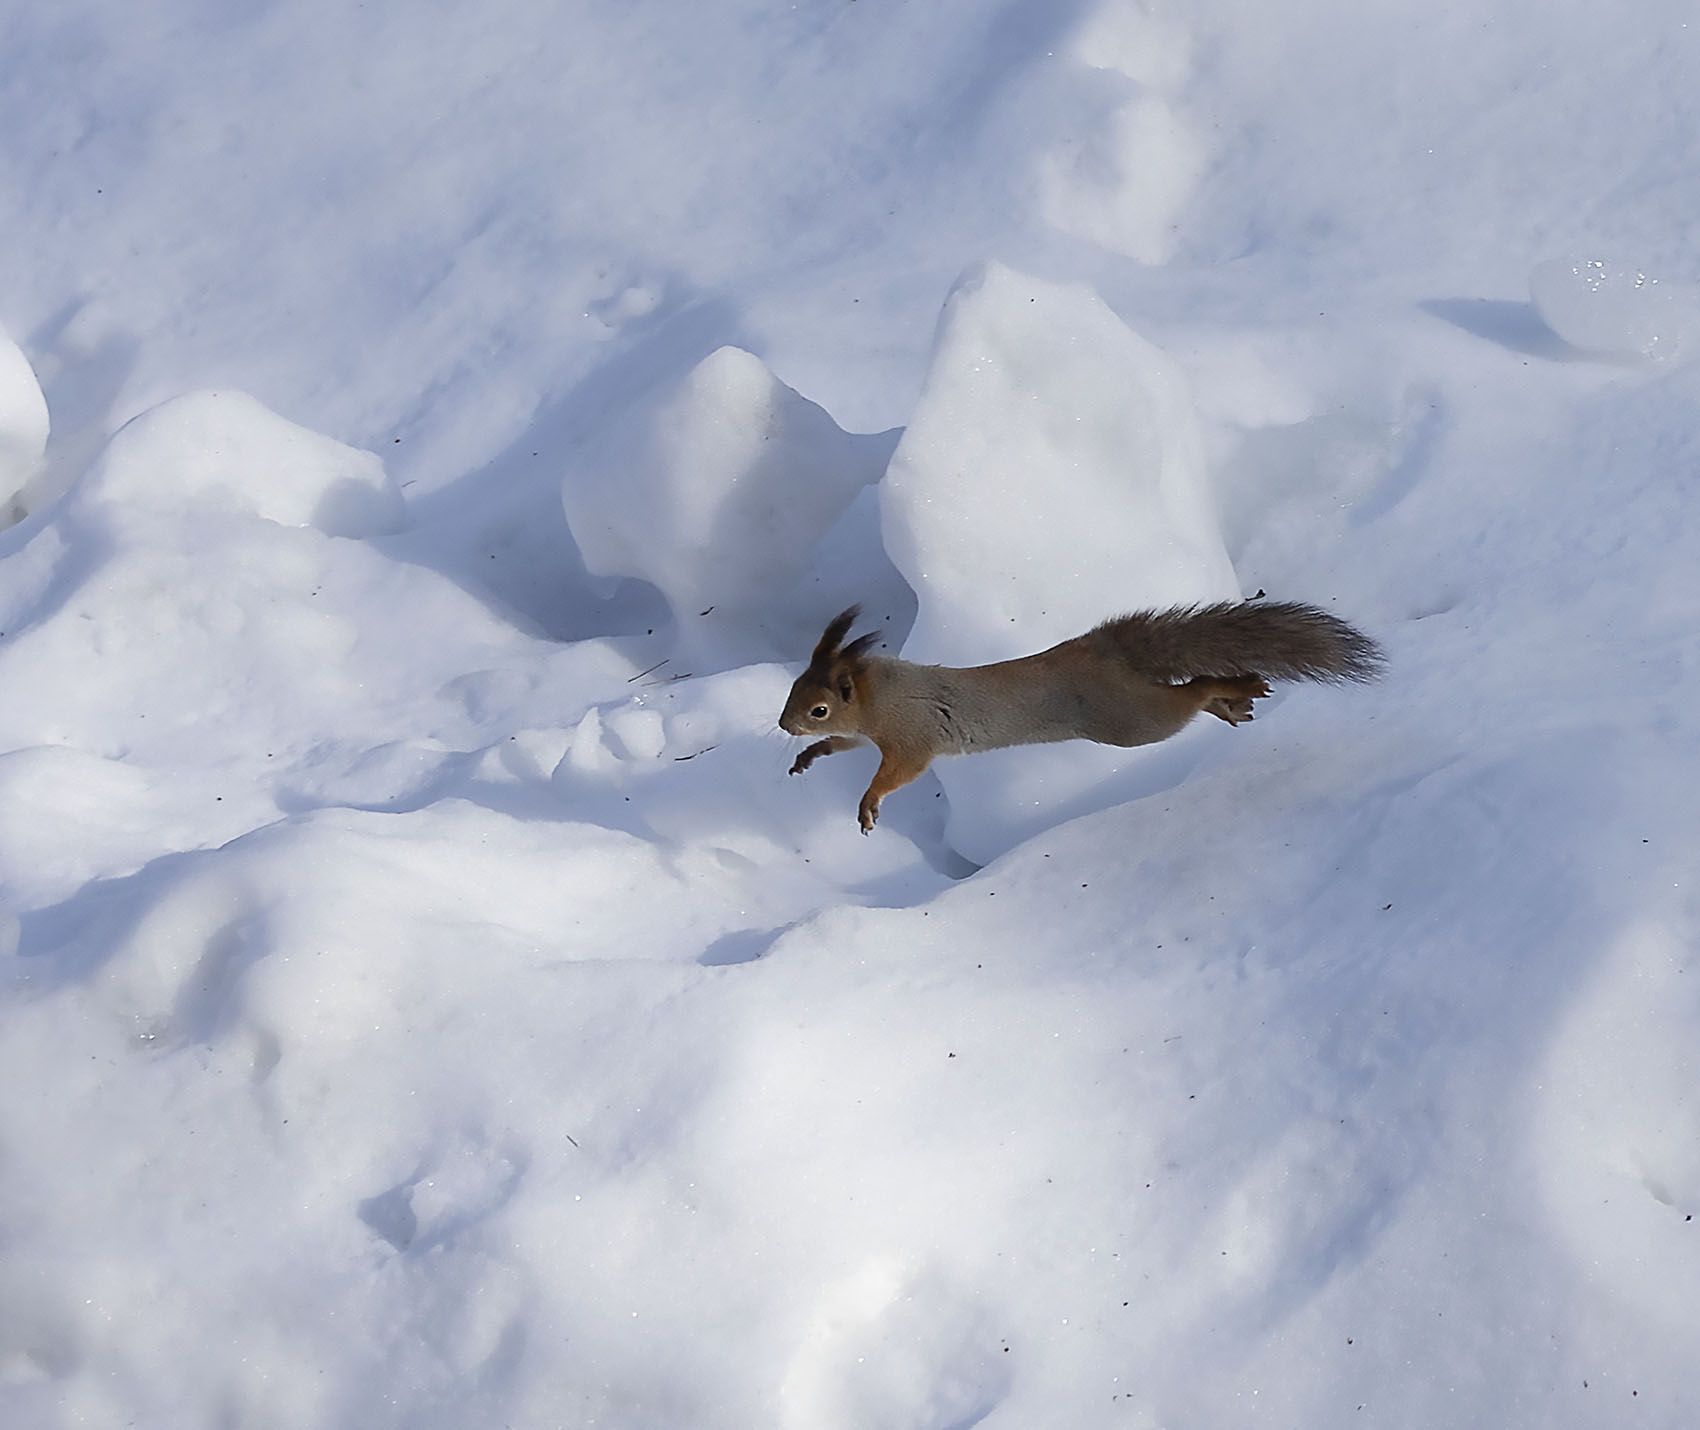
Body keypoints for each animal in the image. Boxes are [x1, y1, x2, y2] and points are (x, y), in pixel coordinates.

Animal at [778, 598, 1380, 829]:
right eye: (794, 691)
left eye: (818, 706)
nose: (784, 725)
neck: (879, 695)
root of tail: (1105, 655)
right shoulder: (868, 735)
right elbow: (844, 747)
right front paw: (809, 756)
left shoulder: (911, 737)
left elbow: (896, 774)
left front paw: (868, 803)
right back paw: (1232, 699)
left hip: (1133, 721)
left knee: (1188, 694)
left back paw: (1231, 689)